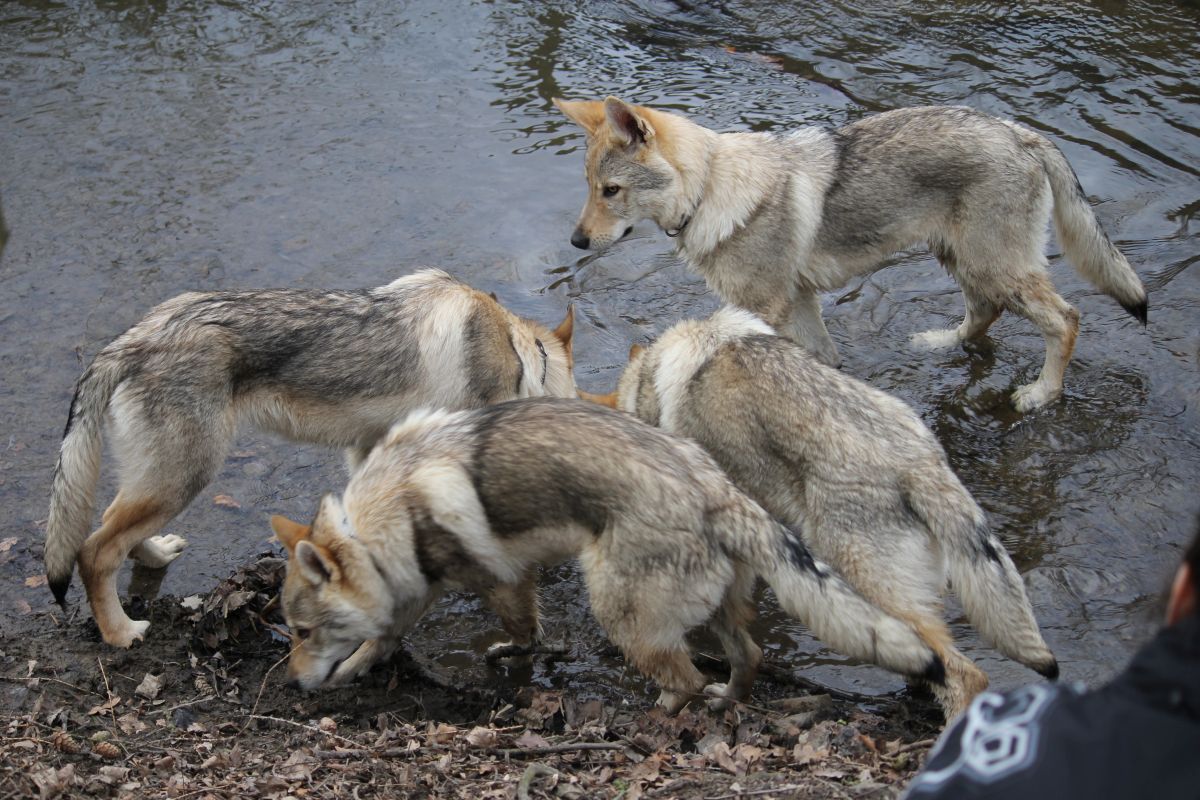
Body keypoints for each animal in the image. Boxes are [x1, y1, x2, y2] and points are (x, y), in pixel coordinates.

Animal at [42, 268, 576, 652]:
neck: (521, 356)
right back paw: (121, 633)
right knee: (95, 552)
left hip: (161, 479)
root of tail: (127, 342)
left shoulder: (370, 451)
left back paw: (156, 554)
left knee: (117, 530)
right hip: (184, 476)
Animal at [270, 398, 945, 705]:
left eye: (302, 632)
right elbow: (388, 635)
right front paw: (357, 668)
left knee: (686, 680)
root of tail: (715, 490)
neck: (384, 517)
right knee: (743, 659)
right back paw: (730, 698)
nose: (290, 685)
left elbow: (512, 627)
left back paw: (664, 713)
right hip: (718, 611)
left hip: (618, 610)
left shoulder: (497, 581)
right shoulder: (422, 588)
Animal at [556, 95, 1147, 412]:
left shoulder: (764, 308)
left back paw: (1042, 393)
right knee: (983, 314)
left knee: (1066, 318)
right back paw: (939, 342)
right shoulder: (798, 305)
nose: (576, 243)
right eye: (587, 186)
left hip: (994, 266)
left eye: (611, 191)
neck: (710, 192)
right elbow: (823, 363)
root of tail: (1022, 133)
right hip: (961, 260)